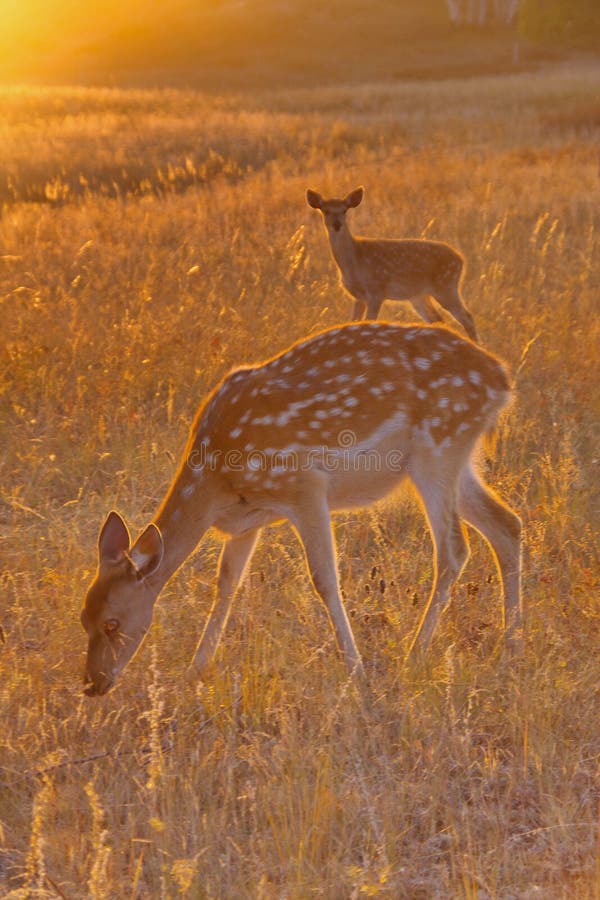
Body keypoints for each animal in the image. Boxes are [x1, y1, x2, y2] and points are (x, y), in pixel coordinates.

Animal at [81, 322, 520, 696]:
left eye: (112, 622)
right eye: (83, 618)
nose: (92, 684)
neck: (216, 481)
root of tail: (502, 380)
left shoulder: (302, 483)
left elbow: (324, 577)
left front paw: (356, 671)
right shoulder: (247, 521)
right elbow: (227, 583)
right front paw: (195, 670)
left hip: (437, 449)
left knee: (453, 550)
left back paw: (414, 657)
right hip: (457, 459)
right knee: (507, 524)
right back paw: (511, 645)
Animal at [308, 188, 480, 342]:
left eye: (344, 210)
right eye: (326, 211)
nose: (337, 225)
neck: (354, 261)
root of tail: (461, 259)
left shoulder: (376, 290)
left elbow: (369, 322)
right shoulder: (359, 296)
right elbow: (353, 322)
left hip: (445, 286)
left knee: (467, 317)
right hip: (419, 295)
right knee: (439, 319)